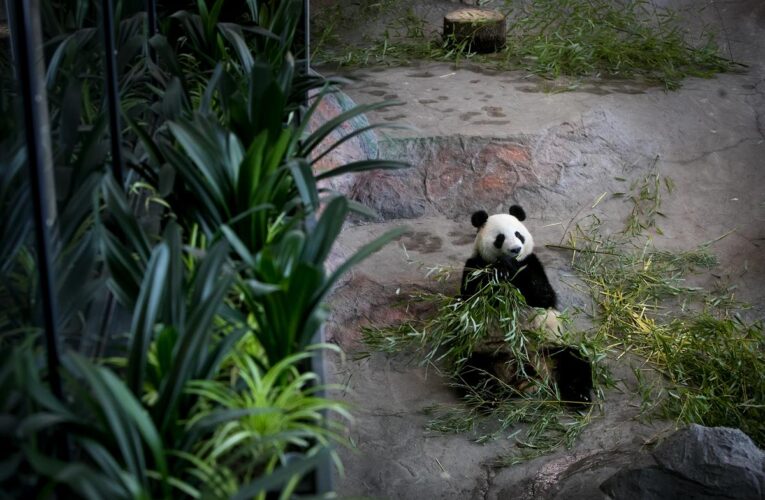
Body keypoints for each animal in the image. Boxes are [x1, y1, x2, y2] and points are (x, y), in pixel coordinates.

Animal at [456, 203, 592, 406]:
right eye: (500, 238)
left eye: (518, 234)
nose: (515, 249)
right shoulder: (475, 266)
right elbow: (473, 299)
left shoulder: (532, 263)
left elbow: (542, 296)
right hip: (485, 352)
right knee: (473, 373)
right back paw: (487, 400)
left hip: (550, 348)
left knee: (575, 361)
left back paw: (579, 397)